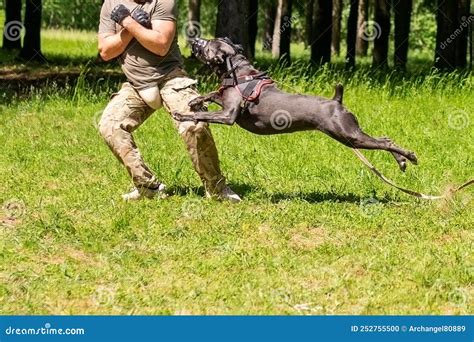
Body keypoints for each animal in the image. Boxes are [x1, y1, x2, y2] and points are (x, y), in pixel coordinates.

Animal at [172, 37, 416, 172]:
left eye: (207, 44)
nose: (193, 39)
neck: (237, 72)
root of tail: (337, 100)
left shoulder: (229, 114)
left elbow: (203, 115)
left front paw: (182, 115)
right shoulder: (223, 98)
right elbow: (213, 93)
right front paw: (195, 100)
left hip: (347, 133)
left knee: (384, 142)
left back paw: (409, 157)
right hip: (347, 134)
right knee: (384, 139)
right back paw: (402, 161)